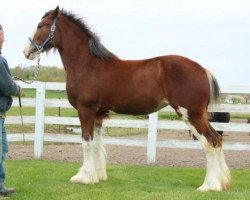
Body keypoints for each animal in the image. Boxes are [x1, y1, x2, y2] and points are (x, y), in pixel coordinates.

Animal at [23, 5, 230, 191]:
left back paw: (208, 186)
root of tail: (203, 70)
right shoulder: (98, 115)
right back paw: (221, 184)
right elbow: (97, 145)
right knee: (218, 140)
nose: (26, 51)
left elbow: (86, 143)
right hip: (199, 115)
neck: (87, 65)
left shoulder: (85, 111)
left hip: (191, 115)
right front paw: (97, 177)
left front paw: (83, 177)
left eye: (41, 25)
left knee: (210, 143)